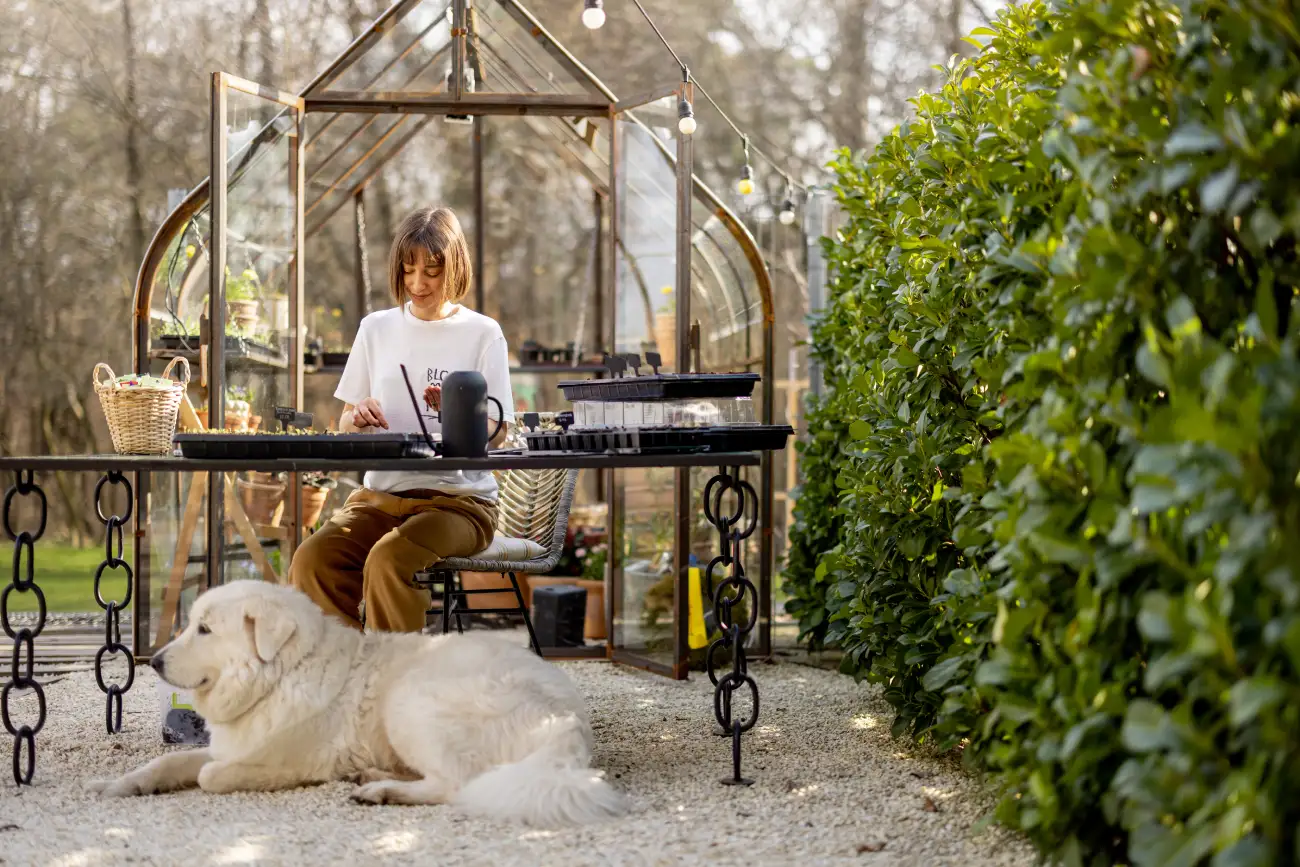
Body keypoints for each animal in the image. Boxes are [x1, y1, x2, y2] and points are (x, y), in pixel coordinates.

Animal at [86, 579, 624, 826]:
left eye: (204, 629)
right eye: (191, 622)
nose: (154, 662)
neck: (278, 678)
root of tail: (565, 720)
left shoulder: (275, 760)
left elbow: (208, 776)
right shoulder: (228, 745)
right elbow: (164, 763)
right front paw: (116, 785)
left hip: (412, 701)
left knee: (457, 785)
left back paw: (380, 791)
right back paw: (373, 776)